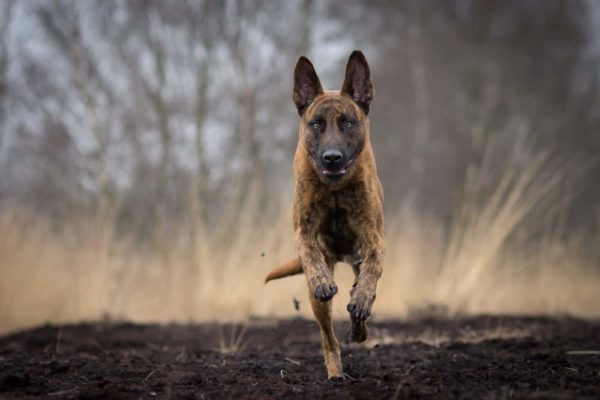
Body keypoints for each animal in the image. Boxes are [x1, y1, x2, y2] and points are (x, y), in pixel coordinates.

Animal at [266, 51, 384, 380]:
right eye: (317, 123)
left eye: (348, 122)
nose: (332, 158)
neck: (335, 189)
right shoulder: (303, 232)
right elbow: (309, 252)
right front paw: (321, 280)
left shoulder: (374, 238)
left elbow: (373, 266)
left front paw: (362, 297)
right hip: (319, 304)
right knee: (328, 337)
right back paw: (335, 375)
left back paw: (358, 321)